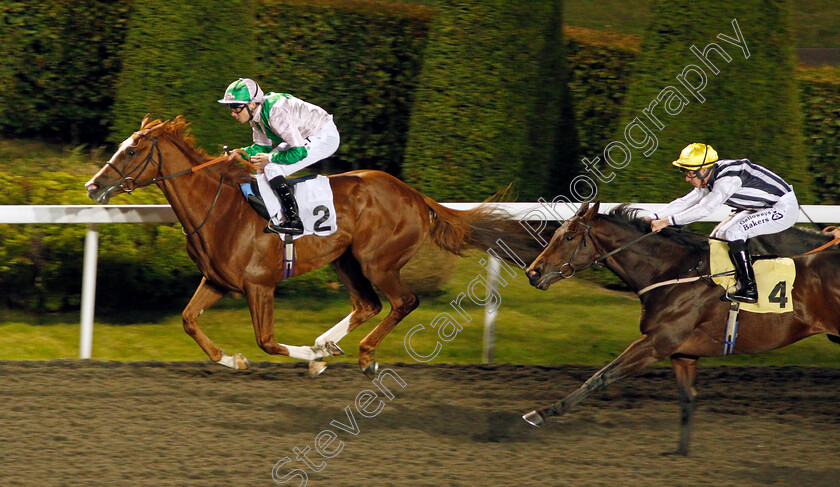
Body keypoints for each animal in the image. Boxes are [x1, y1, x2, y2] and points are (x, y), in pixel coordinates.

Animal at [85, 116, 544, 376]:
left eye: (133, 150)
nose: (93, 185)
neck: (219, 208)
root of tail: (416, 197)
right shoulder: (217, 281)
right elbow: (188, 320)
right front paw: (234, 359)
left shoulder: (259, 285)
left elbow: (267, 341)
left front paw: (309, 356)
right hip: (345, 260)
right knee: (368, 305)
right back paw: (328, 343)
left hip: (378, 262)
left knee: (403, 302)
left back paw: (362, 354)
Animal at [520, 200, 836, 456]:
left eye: (569, 236)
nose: (532, 272)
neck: (672, 272)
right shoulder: (683, 353)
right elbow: (687, 399)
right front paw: (681, 452)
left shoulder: (658, 341)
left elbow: (600, 377)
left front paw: (541, 413)